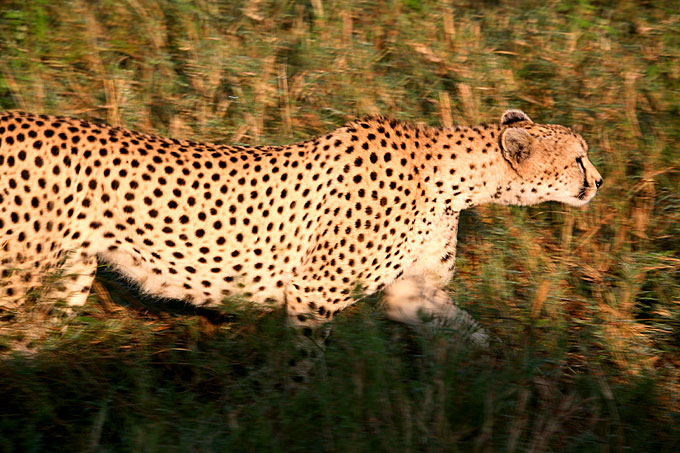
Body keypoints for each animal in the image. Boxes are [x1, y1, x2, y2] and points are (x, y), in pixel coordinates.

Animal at [0, 108, 600, 346]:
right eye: (577, 158)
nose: (597, 181)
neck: (453, 177)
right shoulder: (314, 293)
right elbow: (303, 365)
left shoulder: (411, 293)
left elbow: (468, 330)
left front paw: (503, 374)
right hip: (17, 276)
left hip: (67, 275)